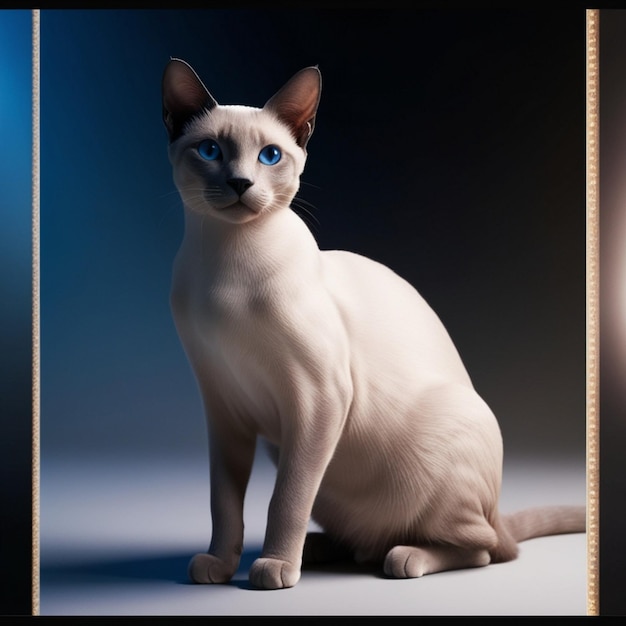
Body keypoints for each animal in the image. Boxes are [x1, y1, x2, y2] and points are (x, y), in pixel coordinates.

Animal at [161, 56, 584, 588]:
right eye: (211, 150)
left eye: (270, 156)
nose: (240, 184)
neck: (225, 270)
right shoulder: (224, 409)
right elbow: (225, 503)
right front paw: (220, 563)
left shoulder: (318, 399)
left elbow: (286, 498)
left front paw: (274, 568)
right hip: (317, 476)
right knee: (369, 541)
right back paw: (320, 549)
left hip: (438, 445)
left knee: (485, 549)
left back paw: (400, 556)